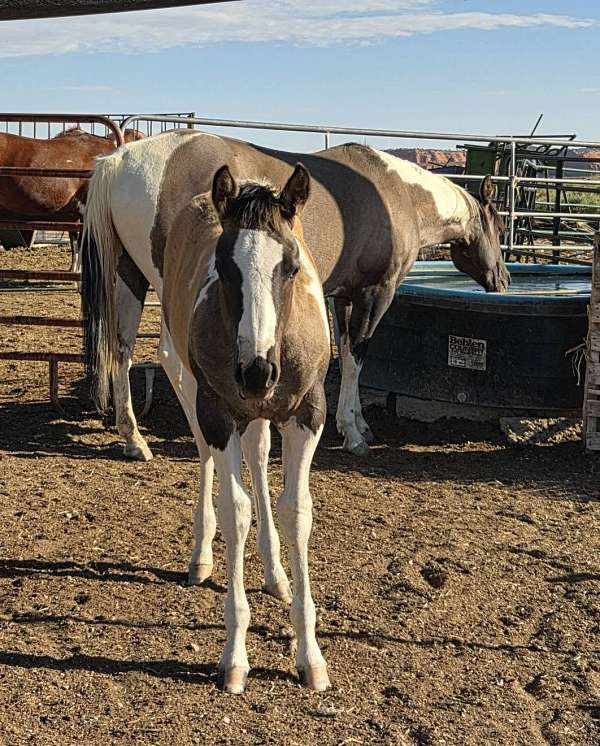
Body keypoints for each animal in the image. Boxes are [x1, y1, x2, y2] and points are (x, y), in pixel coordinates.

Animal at [82, 151, 332, 694]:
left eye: (291, 265)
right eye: (224, 265)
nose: (256, 371)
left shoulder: (307, 414)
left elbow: (295, 511)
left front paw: (310, 655)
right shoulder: (217, 412)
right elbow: (235, 509)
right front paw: (235, 657)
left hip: (256, 414)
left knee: (257, 455)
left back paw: (275, 573)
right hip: (190, 382)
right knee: (205, 455)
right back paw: (201, 555)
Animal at [101, 130, 509, 463]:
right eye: (501, 227)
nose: (504, 280)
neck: (396, 194)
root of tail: (119, 161)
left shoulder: (343, 296)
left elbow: (346, 352)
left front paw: (359, 421)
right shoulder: (376, 292)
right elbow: (357, 354)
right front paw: (353, 433)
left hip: (129, 277)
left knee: (121, 350)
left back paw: (134, 440)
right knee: (170, 358)